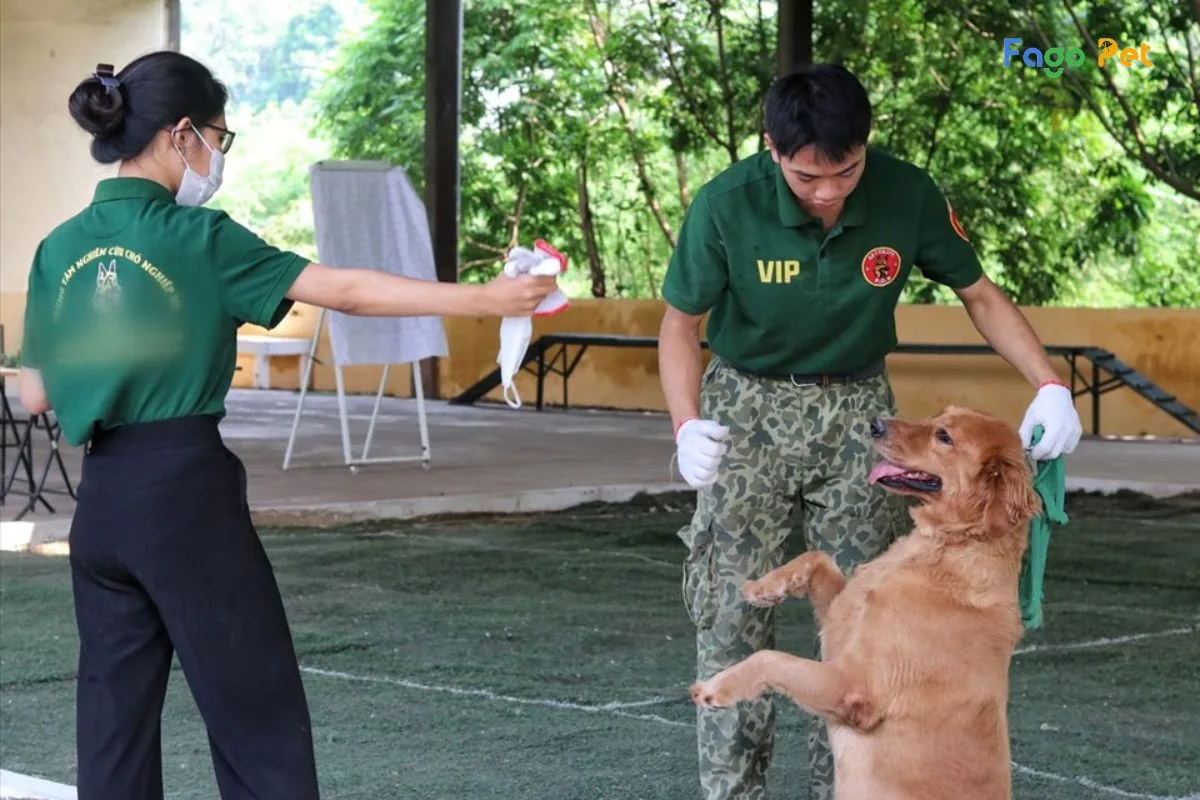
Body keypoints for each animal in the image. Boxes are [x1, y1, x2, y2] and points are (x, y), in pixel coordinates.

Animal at [691, 410, 1046, 796]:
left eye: (944, 436)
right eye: (939, 417)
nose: (875, 423)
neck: (947, 549)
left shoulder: (853, 686)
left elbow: (770, 658)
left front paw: (714, 687)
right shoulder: (840, 617)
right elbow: (817, 557)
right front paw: (764, 587)